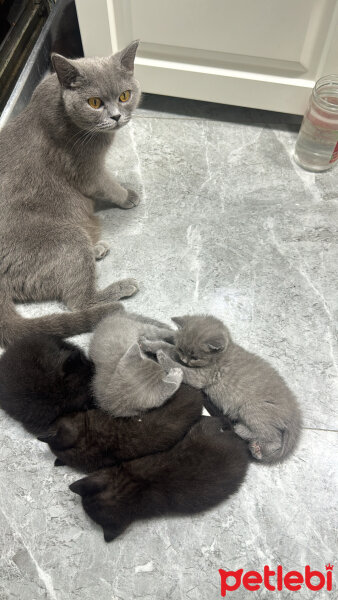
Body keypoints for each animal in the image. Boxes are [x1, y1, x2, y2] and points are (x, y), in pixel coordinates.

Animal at [0, 41, 141, 346]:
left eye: (125, 96)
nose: (116, 116)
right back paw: (120, 290)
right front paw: (128, 196)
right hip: (67, 238)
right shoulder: (87, 169)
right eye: (95, 103)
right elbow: (107, 184)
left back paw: (97, 249)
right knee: (78, 302)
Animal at [140, 314, 302, 464]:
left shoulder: (200, 377)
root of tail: (295, 411)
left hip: (252, 410)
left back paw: (251, 443)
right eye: (182, 349)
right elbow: (168, 346)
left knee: (273, 438)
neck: (221, 355)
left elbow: (177, 365)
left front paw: (161, 355)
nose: (185, 360)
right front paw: (148, 343)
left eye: (195, 357)